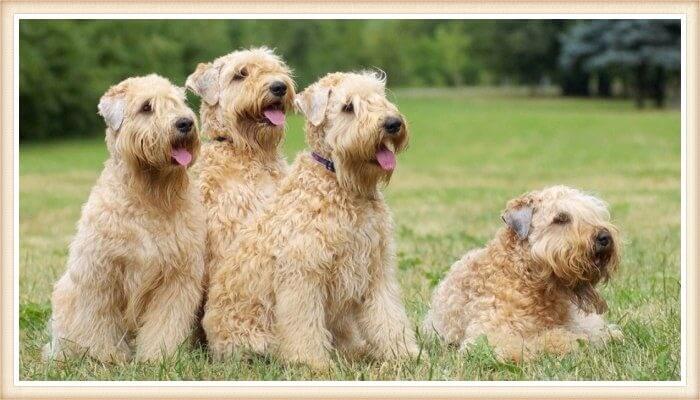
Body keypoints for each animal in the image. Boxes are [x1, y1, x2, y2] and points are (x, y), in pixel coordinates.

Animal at [43, 74, 204, 362]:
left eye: (177, 102)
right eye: (146, 107)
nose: (185, 123)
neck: (149, 197)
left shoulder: (176, 278)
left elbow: (165, 324)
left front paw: (157, 357)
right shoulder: (101, 273)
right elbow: (99, 322)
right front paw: (105, 357)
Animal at [205, 70, 418, 368]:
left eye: (380, 97)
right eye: (348, 107)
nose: (392, 123)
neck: (341, 184)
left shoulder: (376, 269)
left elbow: (388, 317)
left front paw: (405, 355)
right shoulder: (303, 274)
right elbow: (303, 325)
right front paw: (312, 363)